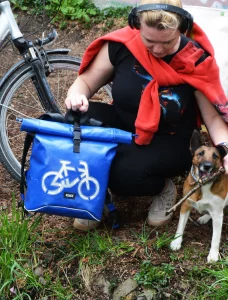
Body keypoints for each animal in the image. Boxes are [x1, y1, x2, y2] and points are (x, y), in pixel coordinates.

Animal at [170, 130, 227, 262]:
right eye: (200, 153)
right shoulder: (186, 205)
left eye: (215, 156)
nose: (207, 166)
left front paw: (213, 254)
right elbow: (180, 225)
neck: (202, 186)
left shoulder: (217, 213)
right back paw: (205, 217)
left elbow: (216, 236)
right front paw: (177, 241)